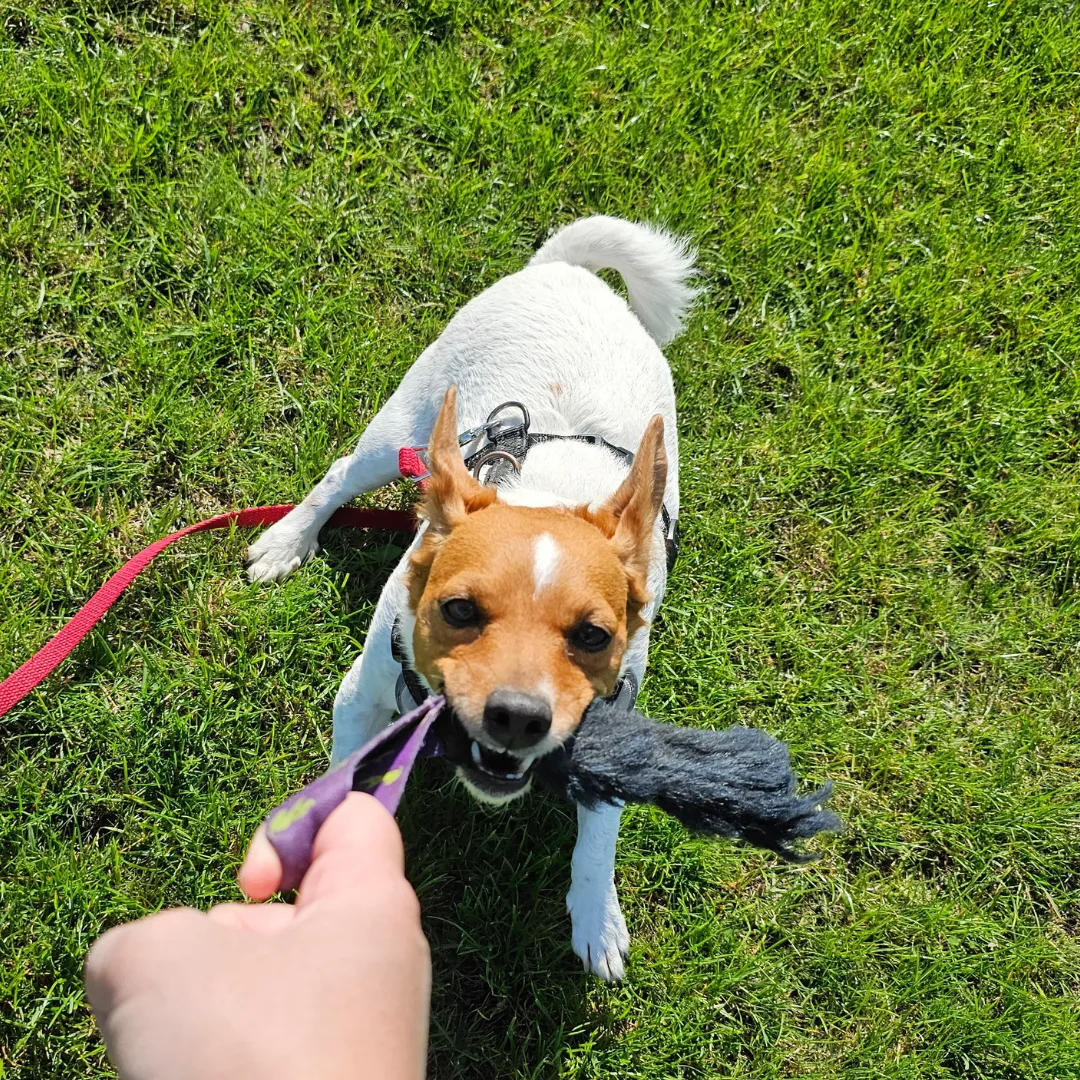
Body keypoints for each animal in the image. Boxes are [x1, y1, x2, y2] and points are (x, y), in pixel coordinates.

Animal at [247, 216, 698, 980]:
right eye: (458, 611)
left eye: (593, 636)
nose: (517, 716)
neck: (550, 493)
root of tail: (566, 272)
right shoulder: (359, 698)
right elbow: (342, 785)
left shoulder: (613, 725)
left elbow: (598, 839)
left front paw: (597, 918)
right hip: (400, 432)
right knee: (339, 474)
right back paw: (286, 541)